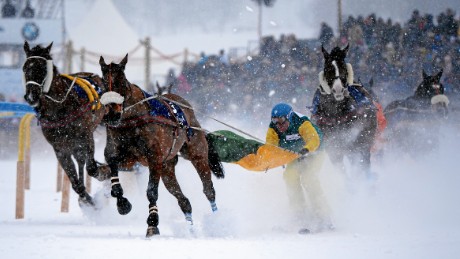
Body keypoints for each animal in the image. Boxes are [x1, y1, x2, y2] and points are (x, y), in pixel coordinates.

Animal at [22, 41, 110, 208]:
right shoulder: (59, 147)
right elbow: (75, 183)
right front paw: (86, 199)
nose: (31, 96)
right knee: (80, 159)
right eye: (25, 68)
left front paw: (105, 171)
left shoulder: (86, 135)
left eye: (43, 68)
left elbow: (92, 168)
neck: (59, 107)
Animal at [99, 54, 225, 238]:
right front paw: (122, 204)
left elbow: (151, 191)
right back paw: (191, 229)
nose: (112, 115)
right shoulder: (126, 158)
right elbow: (113, 169)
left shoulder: (154, 160)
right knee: (183, 200)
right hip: (167, 168)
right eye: (102, 84)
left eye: (121, 81)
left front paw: (152, 224)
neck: (132, 119)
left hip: (197, 153)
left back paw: (218, 223)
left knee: (208, 189)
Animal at [310, 44, 378, 179]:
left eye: (343, 68)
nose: (338, 89)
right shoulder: (333, 148)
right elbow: (340, 168)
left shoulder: (354, 140)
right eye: (328, 68)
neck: (335, 114)